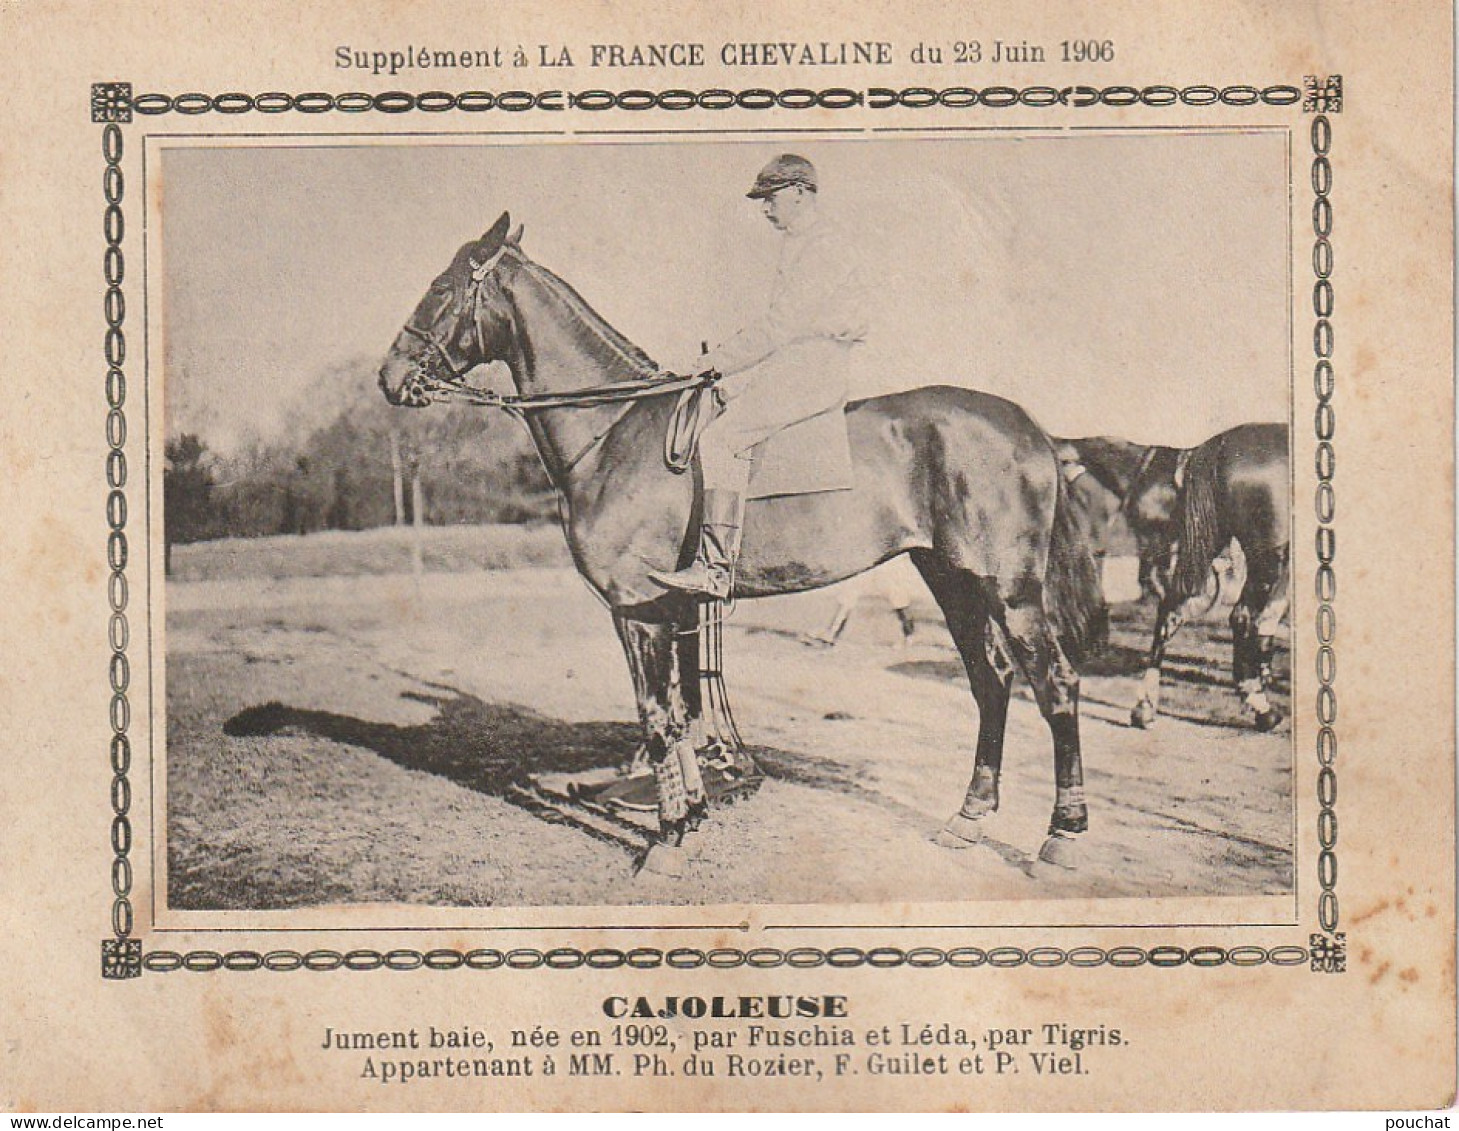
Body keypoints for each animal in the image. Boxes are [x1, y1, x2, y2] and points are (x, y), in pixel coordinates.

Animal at [373, 218, 1103, 875]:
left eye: (440, 288)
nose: (388, 376)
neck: (615, 429)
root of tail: (1030, 427)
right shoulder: (666, 611)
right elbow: (676, 713)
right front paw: (690, 815)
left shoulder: (637, 609)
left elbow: (661, 718)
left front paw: (669, 837)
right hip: (952, 581)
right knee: (991, 681)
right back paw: (968, 819)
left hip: (1010, 591)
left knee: (1055, 685)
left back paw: (1061, 836)